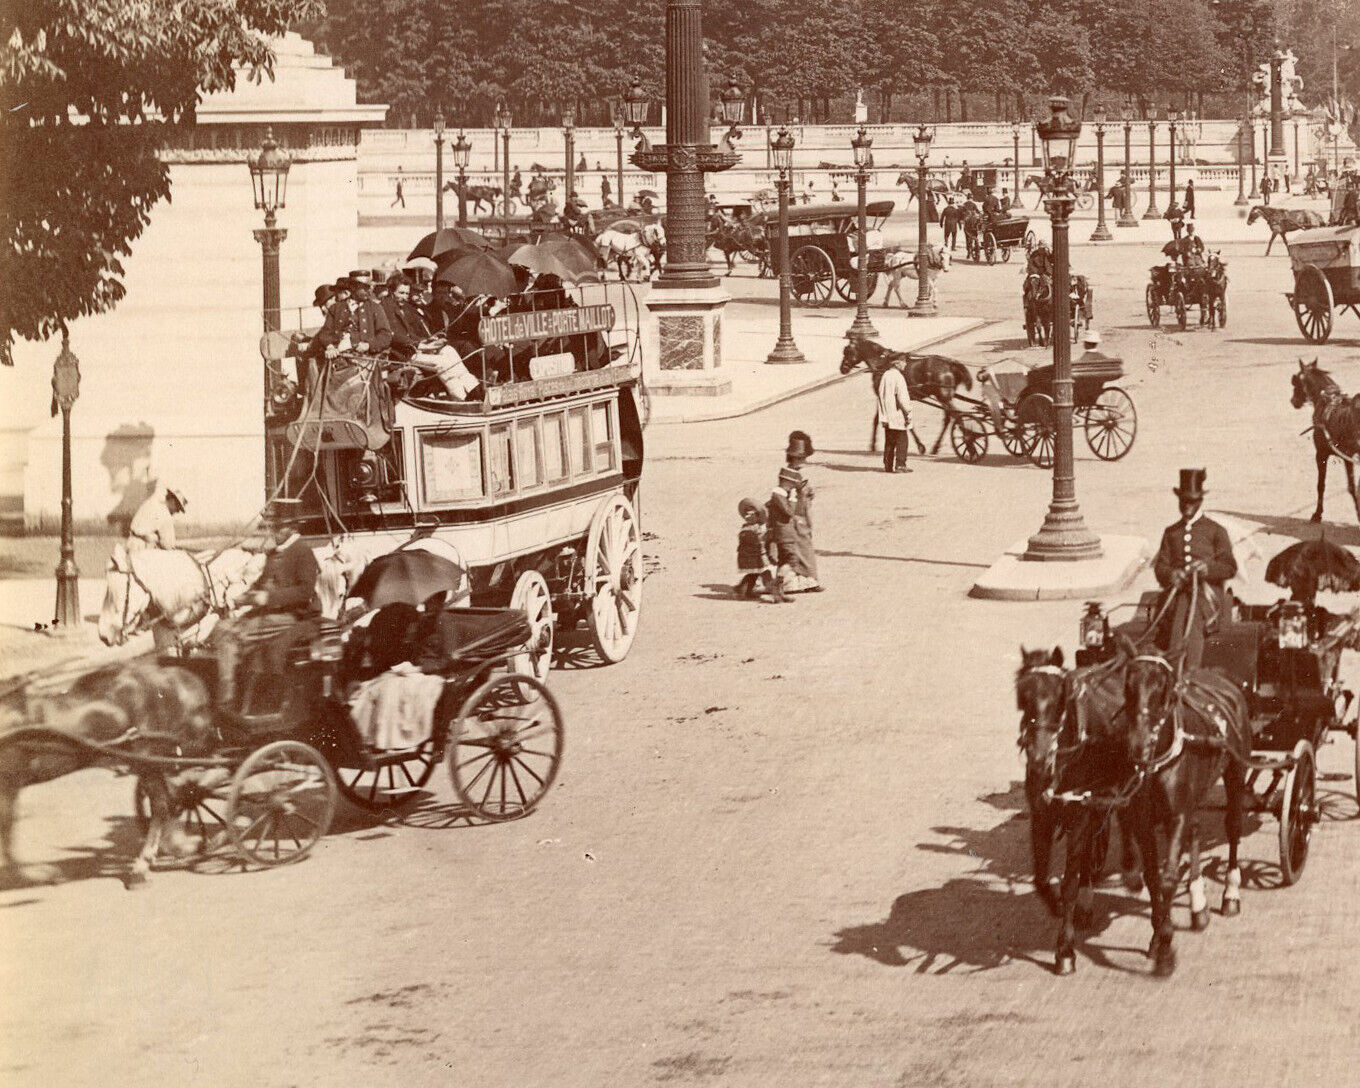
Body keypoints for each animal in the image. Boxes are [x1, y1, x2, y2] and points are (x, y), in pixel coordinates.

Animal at [1283, 359, 1360, 524]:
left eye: (1296, 381)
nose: (1293, 401)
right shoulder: (1345, 456)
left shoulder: (1323, 454)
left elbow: (1323, 485)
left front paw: (1317, 514)